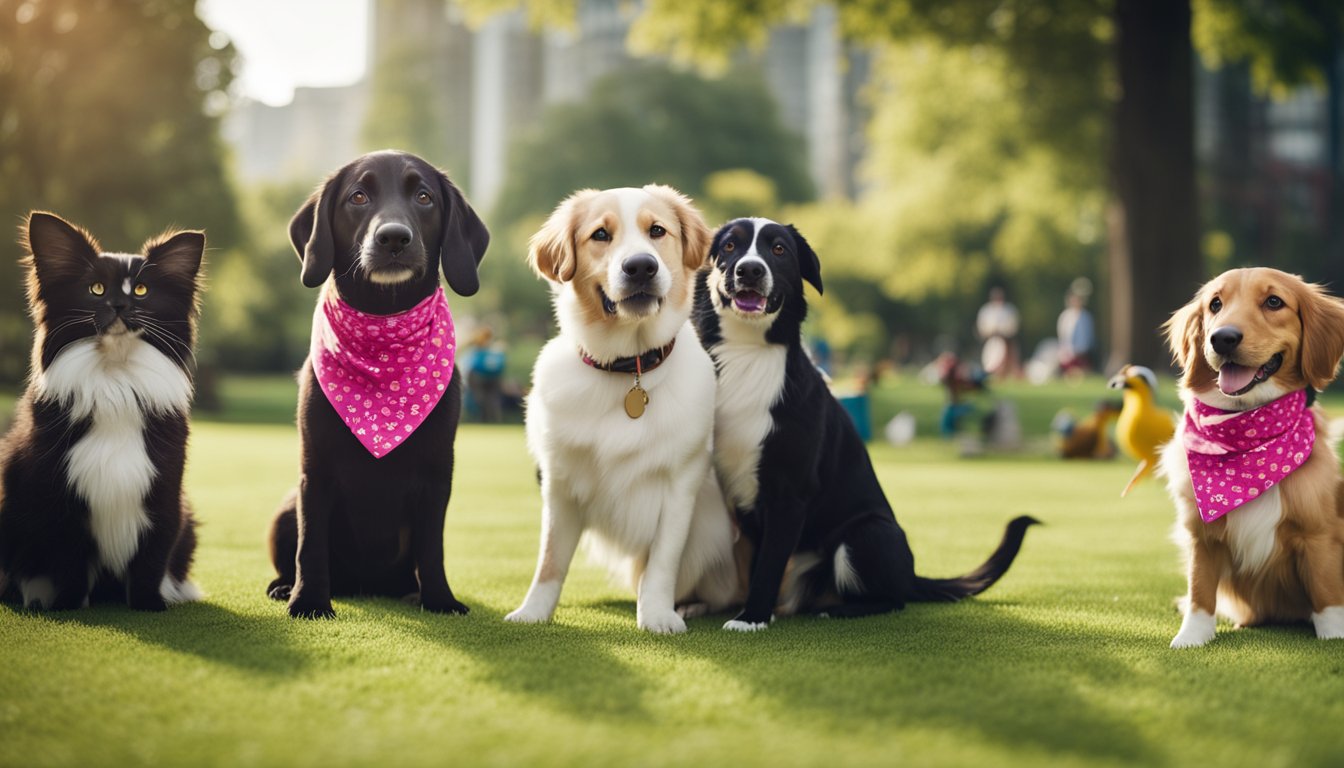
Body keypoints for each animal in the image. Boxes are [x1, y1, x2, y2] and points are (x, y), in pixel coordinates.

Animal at [0, 209, 204, 613]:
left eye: (141, 290)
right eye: (96, 289)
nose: (119, 306)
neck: (114, 377)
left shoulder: (164, 493)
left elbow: (151, 557)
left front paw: (149, 605)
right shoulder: (60, 500)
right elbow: (69, 560)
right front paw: (67, 606)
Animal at [505, 184, 741, 632]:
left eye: (657, 231)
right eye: (600, 235)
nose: (641, 267)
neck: (628, 367)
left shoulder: (680, 484)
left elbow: (662, 561)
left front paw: (659, 615)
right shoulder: (560, 482)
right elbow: (549, 560)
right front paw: (533, 612)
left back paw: (691, 605)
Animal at [693, 217, 1037, 632]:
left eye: (778, 249)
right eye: (729, 246)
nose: (749, 270)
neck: (747, 353)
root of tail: (912, 575)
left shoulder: (790, 493)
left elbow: (769, 566)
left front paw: (751, 617)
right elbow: (760, 561)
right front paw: (748, 610)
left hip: (867, 534)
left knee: (893, 599)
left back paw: (836, 609)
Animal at [1155, 267, 1344, 645]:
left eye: (1274, 301)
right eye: (1215, 304)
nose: (1222, 338)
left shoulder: (1318, 533)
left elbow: (1326, 591)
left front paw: (1334, 635)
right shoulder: (1202, 536)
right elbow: (1200, 591)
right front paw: (1192, 637)